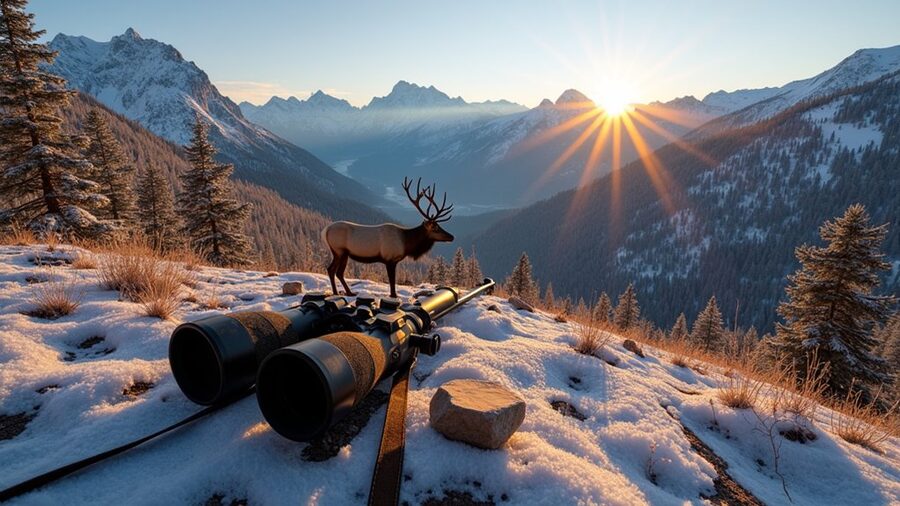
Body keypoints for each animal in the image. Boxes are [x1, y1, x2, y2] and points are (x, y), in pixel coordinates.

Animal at [322, 177, 454, 298]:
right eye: (435, 228)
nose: (452, 236)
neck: (406, 243)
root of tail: (326, 230)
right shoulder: (390, 259)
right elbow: (392, 280)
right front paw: (394, 295)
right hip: (339, 250)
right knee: (333, 270)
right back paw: (338, 292)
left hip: (343, 253)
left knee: (337, 272)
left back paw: (348, 292)